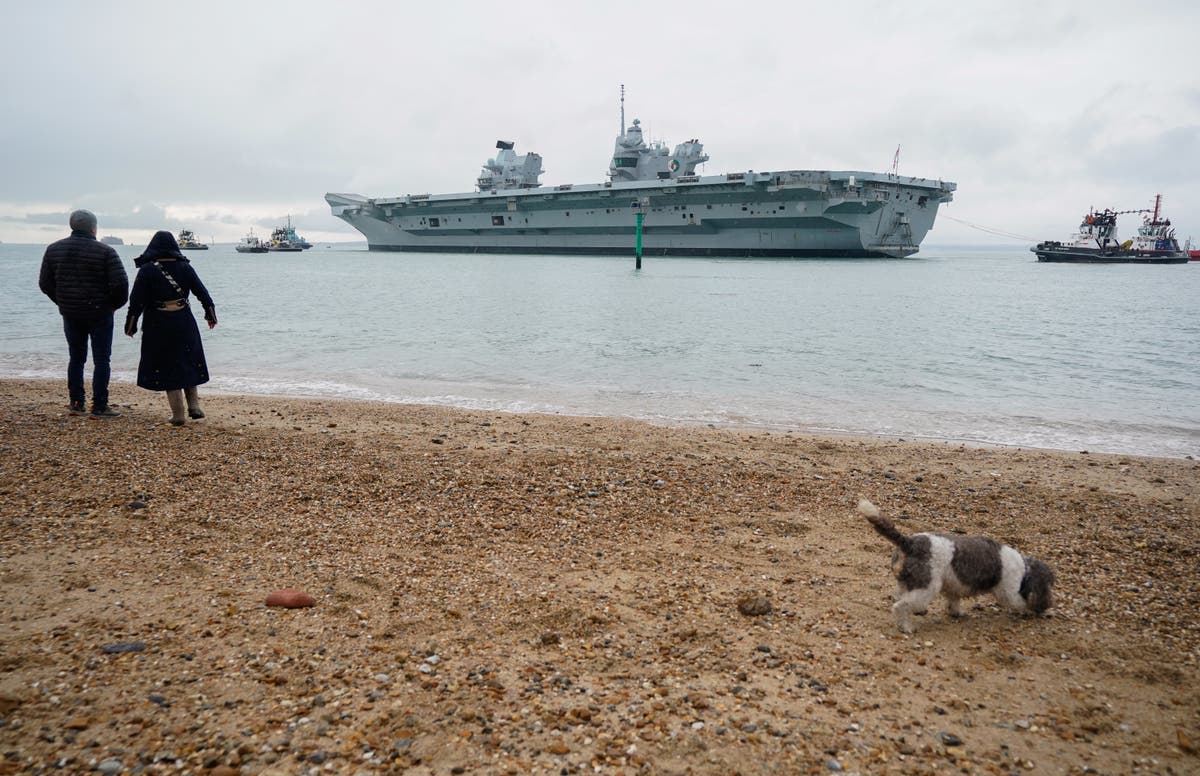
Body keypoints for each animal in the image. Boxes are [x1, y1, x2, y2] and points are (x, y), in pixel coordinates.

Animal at [859, 501, 1056, 633]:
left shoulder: (953, 588)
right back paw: (906, 627)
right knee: (901, 606)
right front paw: (1030, 612)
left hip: (907, 582)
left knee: (901, 597)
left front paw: (957, 613)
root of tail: (909, 542)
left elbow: (953, 602)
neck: (1025, 569)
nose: (1048, 605)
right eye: (1049, 586)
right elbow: (1020, 603)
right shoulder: (1009, 592)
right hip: (926, 587)